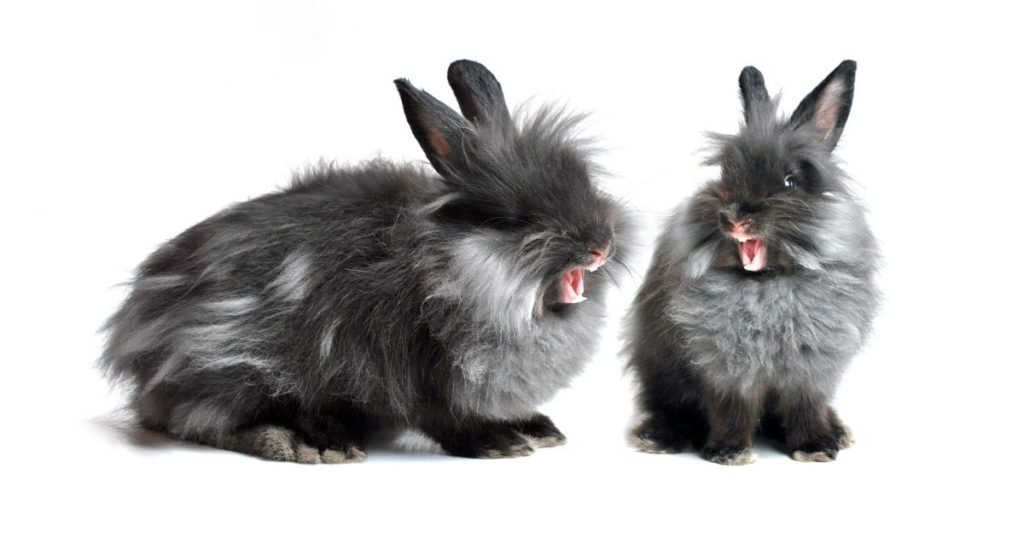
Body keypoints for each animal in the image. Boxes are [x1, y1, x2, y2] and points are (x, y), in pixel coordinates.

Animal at [99, 60, 631, 463]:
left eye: (585, 183)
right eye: (515, 218)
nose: (601, 244)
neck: (450, 268)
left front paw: (537, 428)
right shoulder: (416, 366)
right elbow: (446, 417)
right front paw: (499, 443)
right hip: (226, 362)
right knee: (200, 420)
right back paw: (311, 443)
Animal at [626, 60, 879, 465]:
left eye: (790, 182)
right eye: (725, 174)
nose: (733, 217)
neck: (766, 285)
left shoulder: (809, 371)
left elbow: (806, 407)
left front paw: (816, 446)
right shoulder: (726, 369)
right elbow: (732, 409)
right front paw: (729, 452)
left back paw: (838, 432)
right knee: (669, 408)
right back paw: (659, 437)